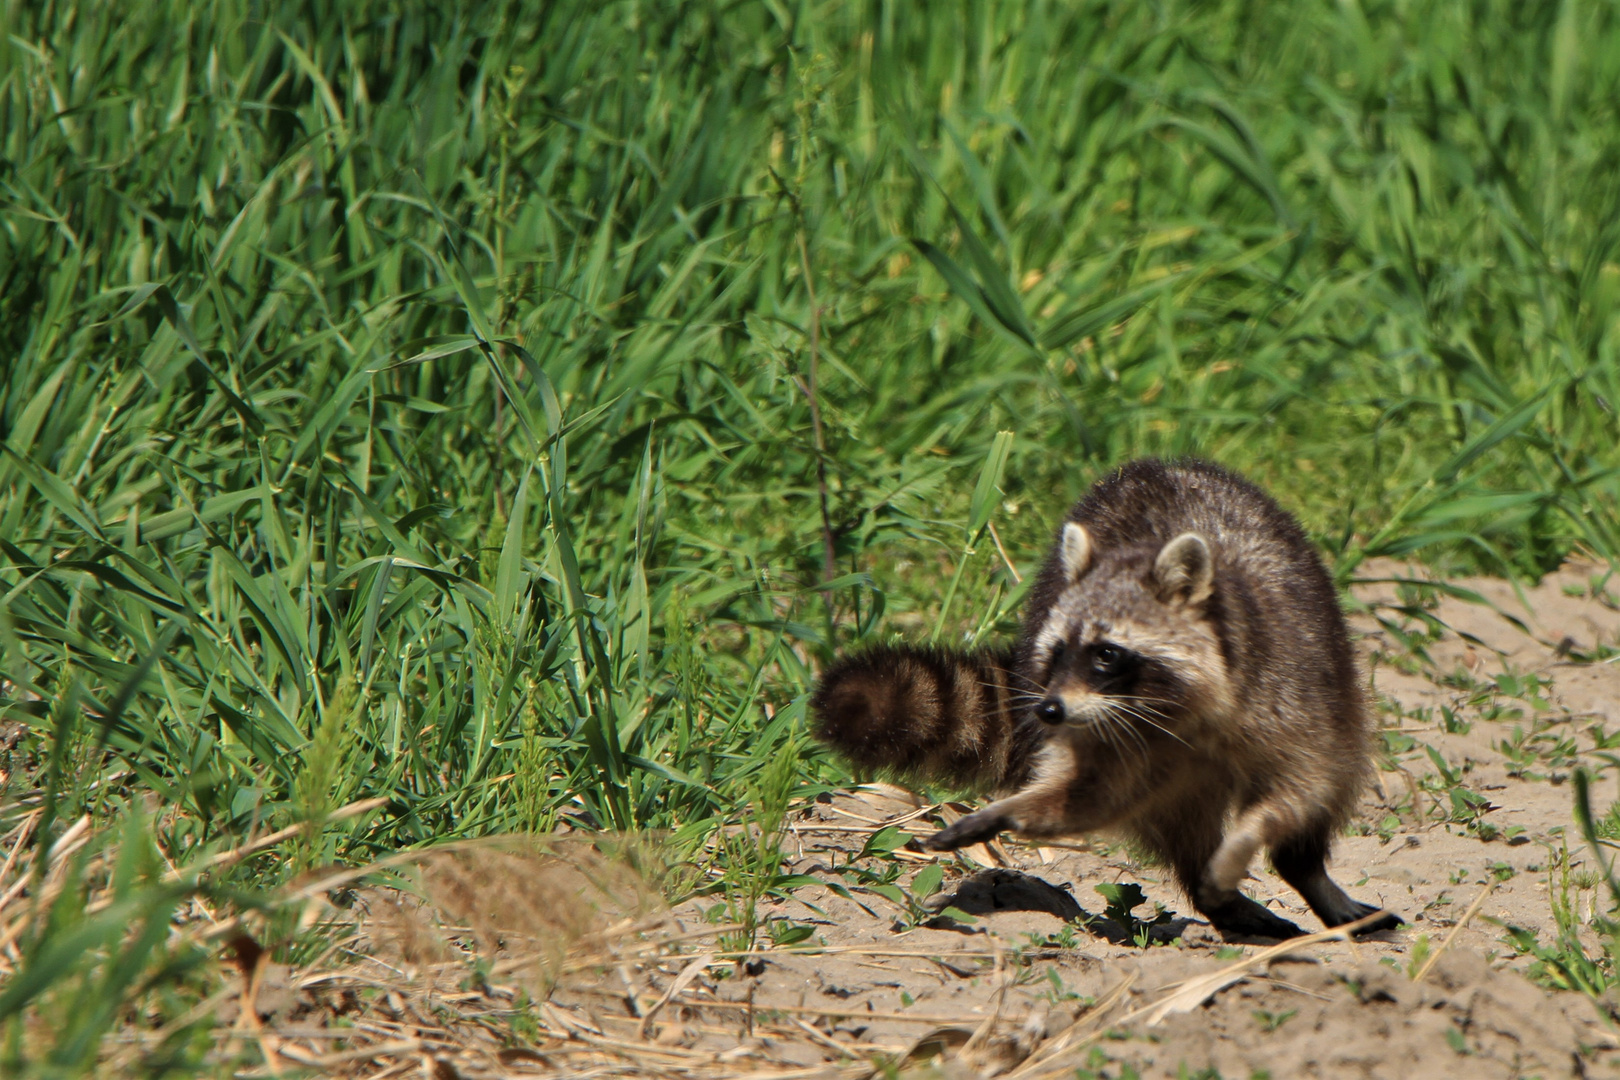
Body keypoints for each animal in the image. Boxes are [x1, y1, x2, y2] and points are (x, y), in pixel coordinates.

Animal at [816, 459, 1399, 939]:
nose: (1047, 711)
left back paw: (1304, 876)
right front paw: (1014, 809)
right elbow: (1092, 796)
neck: (1172, 713)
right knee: (1184, 823)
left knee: (1322, 795)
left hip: (1330, 671)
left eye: (1106, 654)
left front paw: (1245, 842)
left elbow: (1302, 786)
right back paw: (1217, 894)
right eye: (1057, 652)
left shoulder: (1290, 692)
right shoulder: (1114, 735)